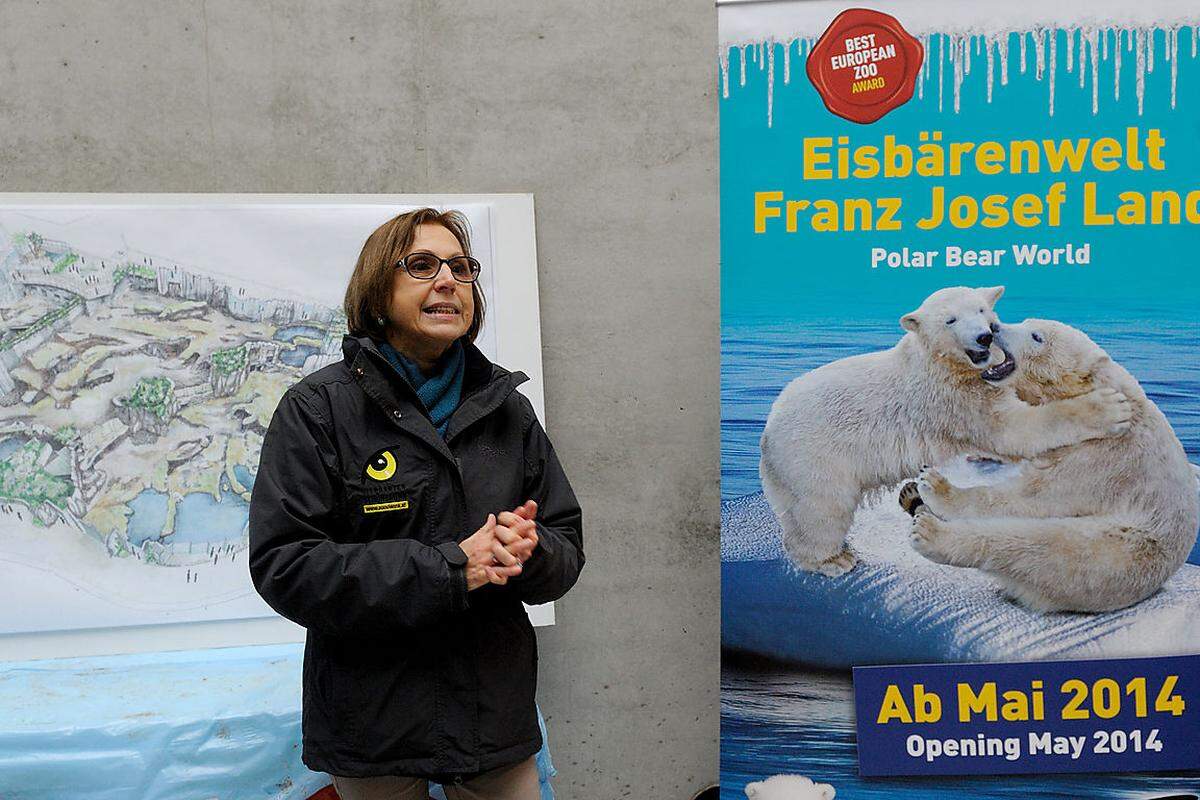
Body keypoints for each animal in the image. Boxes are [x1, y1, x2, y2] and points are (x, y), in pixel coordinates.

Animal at [763, 287, 1128, 575]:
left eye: (982, 310)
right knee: (823, 507)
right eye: (951, 320)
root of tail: (768, 431)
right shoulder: (952, 400)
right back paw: (832, 560)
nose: (985, 335)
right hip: (814, 455)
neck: (941, 364)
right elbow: (1014, 430)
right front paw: (1109, 408)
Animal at [912, 319, 1195, 614]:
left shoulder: (1103, 458)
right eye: (1025, 322)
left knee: (1039, 544)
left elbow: (1031, 496)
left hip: (1116, 550)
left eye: (1037, 337)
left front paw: (937, 486)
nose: (994, 327)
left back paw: (930, 531)